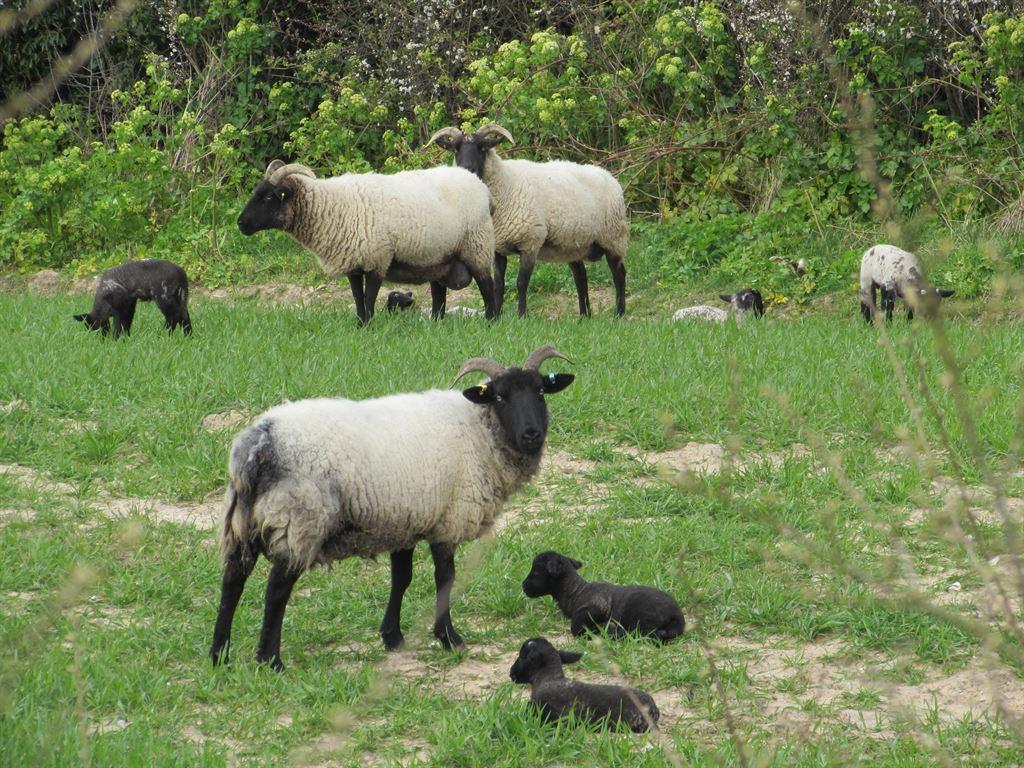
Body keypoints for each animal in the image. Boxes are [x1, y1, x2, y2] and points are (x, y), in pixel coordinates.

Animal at [210, 346, 575, 670]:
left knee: (233, 580)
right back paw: (270, 661)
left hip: (242, 521)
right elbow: (445, 579)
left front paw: (393, 637)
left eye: (541, 391)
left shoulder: (405, 521)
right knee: (275, 592)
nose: (532, 434)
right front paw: (449, 638)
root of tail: (259, 440)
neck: (480, 430)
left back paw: (219, 656)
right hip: (298, 520)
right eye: (500, 397)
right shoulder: (447, 521)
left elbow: (402, 578)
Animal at [237, 160, 497, 324]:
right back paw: (436, 322)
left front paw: (369, 325)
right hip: (440, 259)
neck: (331, 207)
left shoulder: (377, 258)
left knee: (487, 285)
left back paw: (491, 320)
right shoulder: (353, 263)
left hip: (477, 246)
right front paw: (361, 323)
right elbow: (357, 298)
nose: (241, 223)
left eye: (269, 196)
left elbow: (370, 296)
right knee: (439, 295)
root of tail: (480, 186)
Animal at [426, 123, 629, 317]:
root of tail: (608, 175)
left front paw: (522, 316)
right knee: (581, 276)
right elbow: (499, 285)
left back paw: (618, 314)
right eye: (456, 149)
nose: (468, 169)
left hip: (613, 237)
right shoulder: (497, 249)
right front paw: (497, 316)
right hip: (572, 244)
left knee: (619, 275)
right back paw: (584, 316)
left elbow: (521, 283)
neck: (505, 182)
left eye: (483, 147)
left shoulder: (530, 242)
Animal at [521, 551, 685, 641]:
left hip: (643, 617)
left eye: (536, 571)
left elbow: (575, 628)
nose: (523, 586)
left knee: (644, 634)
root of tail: (677, 617)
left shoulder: (595, 608)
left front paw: (598, 630)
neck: (575, 592)